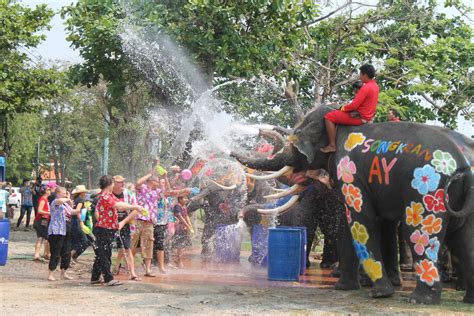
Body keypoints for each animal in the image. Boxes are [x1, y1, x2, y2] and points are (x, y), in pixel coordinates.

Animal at [231, 105, 472, 304]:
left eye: (296, 140)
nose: (231, 151)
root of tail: (463, 163)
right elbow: (350, 226)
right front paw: (343, 287)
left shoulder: (350, 172)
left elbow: (361, 220)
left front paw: (379, 292)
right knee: (463, 239)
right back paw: (466, 299)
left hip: (428, 192)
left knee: (420, 233)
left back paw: (419, 300)